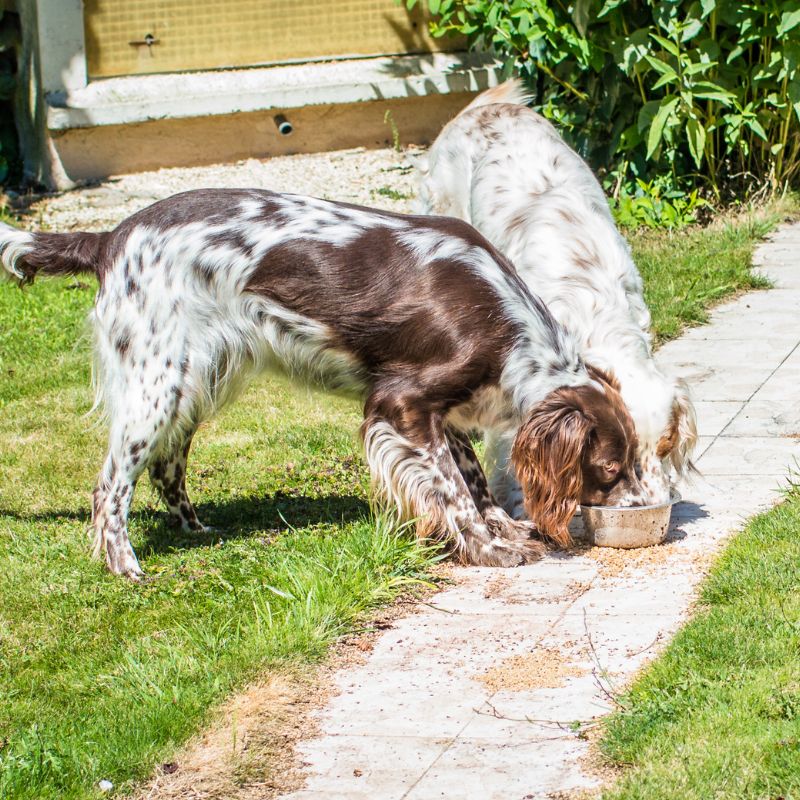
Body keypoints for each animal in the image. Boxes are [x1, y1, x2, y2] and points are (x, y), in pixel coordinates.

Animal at [0, 191, 648, 580]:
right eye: (609, 469)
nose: (643, 511)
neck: (508, 328)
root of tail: (110, 238)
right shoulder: (402, 403)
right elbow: (454, 492)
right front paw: (491, 548)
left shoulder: (440, 412)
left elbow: (473, 480)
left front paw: (502, 527)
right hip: (154, 386)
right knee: (110, 486)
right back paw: (125, 567)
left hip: (193, 382)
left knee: (166, 468)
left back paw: (195, 529)